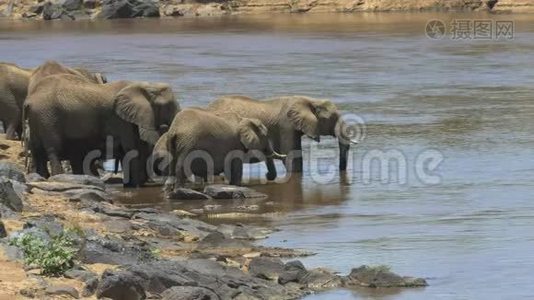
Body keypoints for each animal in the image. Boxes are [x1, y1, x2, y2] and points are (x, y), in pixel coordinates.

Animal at [26, 72, 180, 186]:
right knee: (53, 150)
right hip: (47, 117)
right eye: (169, 106)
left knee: (37, 152)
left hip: (37, 120)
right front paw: (135, 186)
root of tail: (29, 100)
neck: (145, 85)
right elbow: (131, 149)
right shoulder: (120, 119)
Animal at [158, 106, 286, 189]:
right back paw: (180, 190)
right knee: (181, 166)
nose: (267, 175)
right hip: (188, 143)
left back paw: (169, 189)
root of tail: (175, 129)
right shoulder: (236, 145)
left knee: (172, 163)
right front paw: (236, 186)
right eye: (266, 136)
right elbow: (236, 165)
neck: (245, 119)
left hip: (173, 143)